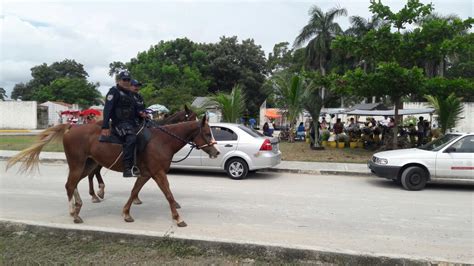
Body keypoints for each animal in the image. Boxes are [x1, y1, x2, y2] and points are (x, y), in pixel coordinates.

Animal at [7, 115, 218, 227]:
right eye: (208, 133)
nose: (216, 152)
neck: (162, 140)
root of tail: (71, 127)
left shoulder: (146, 174)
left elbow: (134, 192)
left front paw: (126, 213)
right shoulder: (158, 173)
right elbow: (168, 194)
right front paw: (178, 218)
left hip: (88, 164)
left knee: (75, 183)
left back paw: (80, 205)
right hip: (78, 164)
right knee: (70, 184)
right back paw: (75, 212)